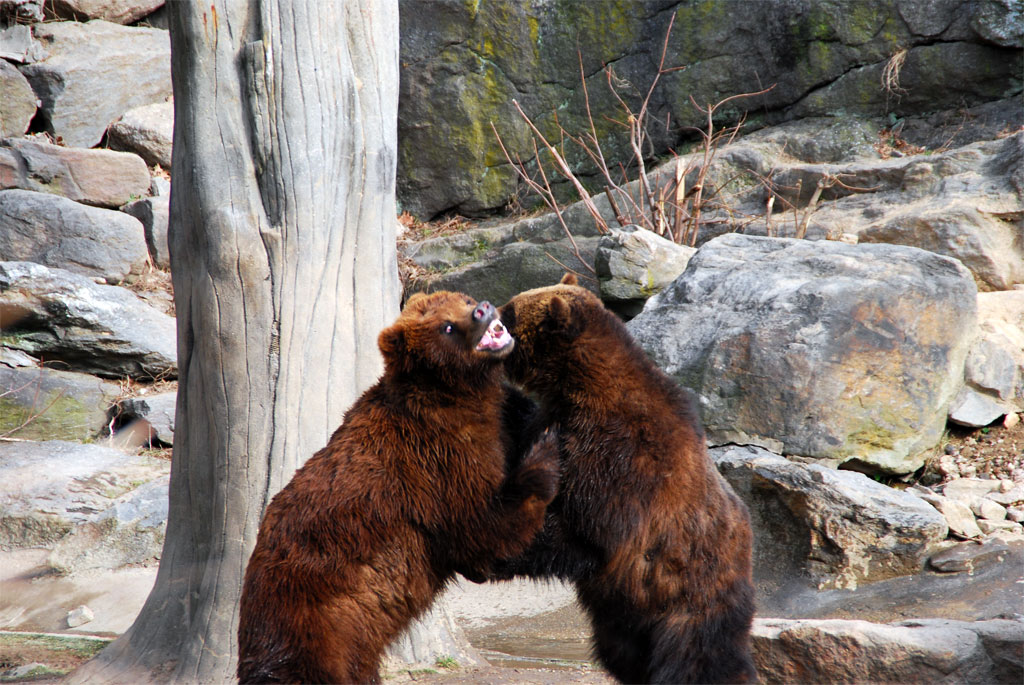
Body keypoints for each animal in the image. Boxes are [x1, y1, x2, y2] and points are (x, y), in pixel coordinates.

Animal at [237, 290, 561, 679]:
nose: (483, 309)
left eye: (465, 300)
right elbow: (481, 531)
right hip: (318, 621)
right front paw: (545, 449)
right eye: (447, 326)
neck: (458, 396)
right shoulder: (437, 462)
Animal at [491, 274, 757, 679]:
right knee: (622, 653)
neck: (579, 388)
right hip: (624, 616)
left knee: (699, 658)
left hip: (692, 594)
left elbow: (587, 532)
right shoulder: (553, 421)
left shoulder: (620, 463)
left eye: (508, 315)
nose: (490, 311)